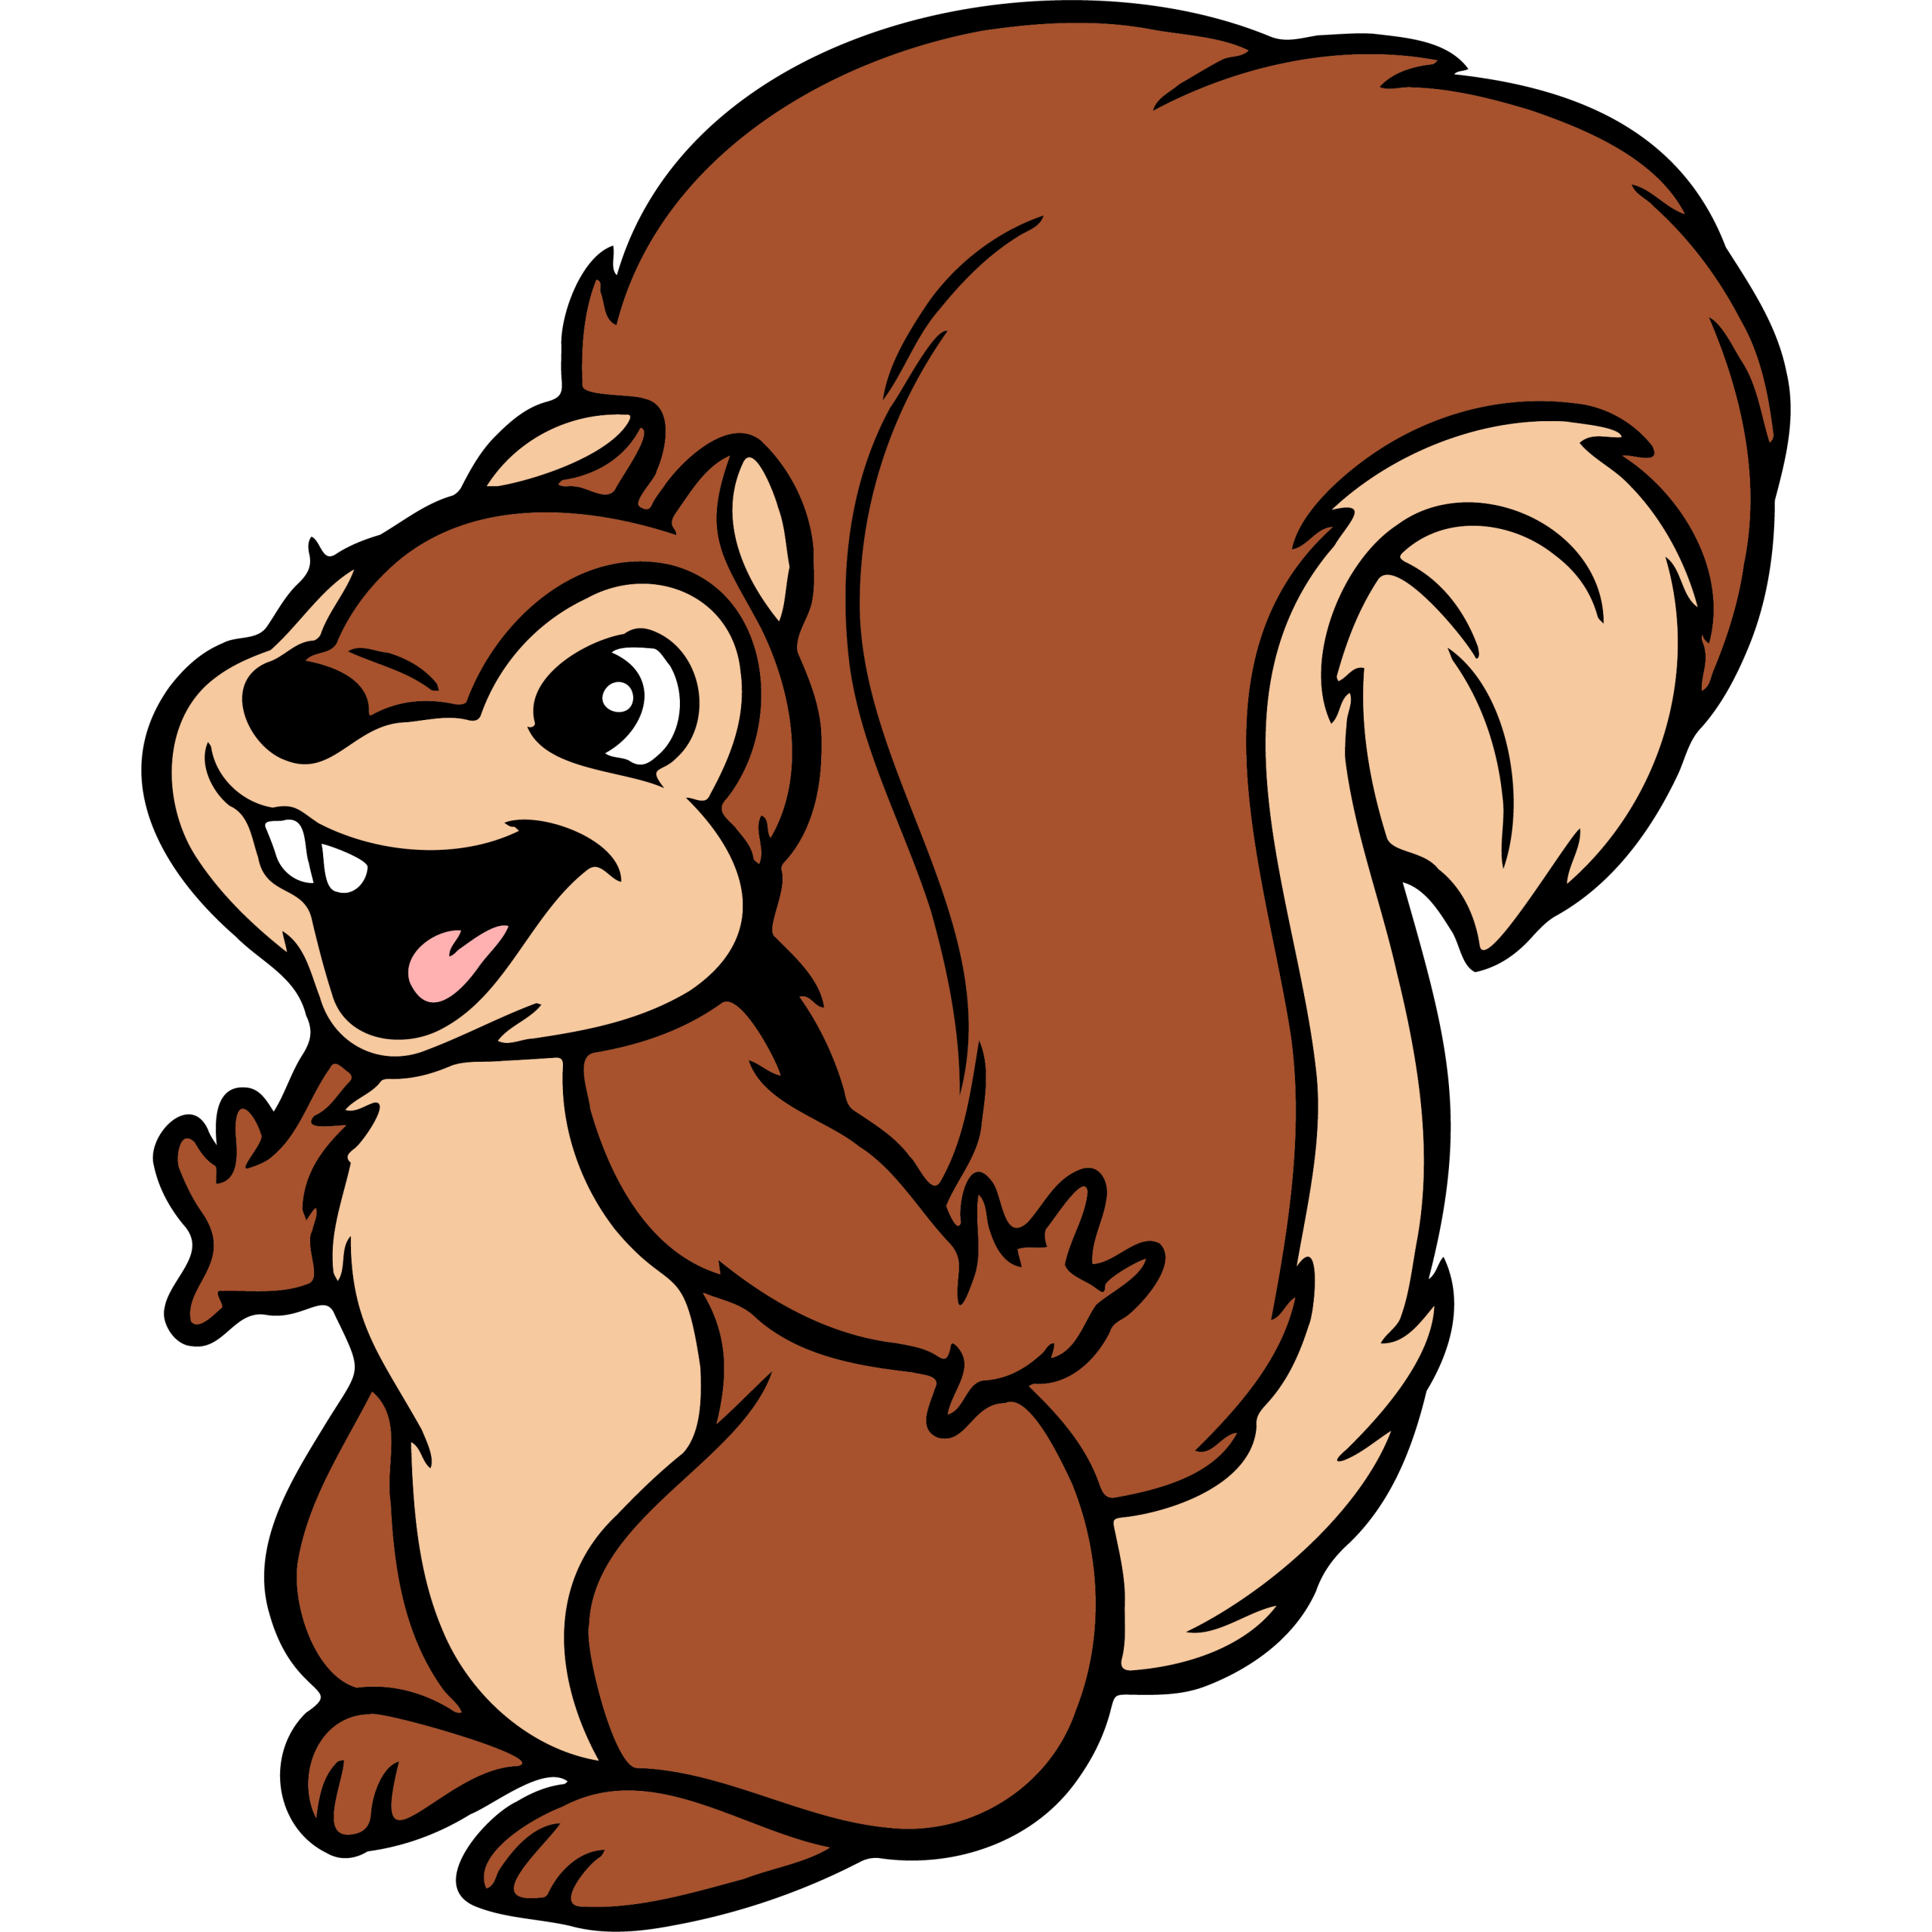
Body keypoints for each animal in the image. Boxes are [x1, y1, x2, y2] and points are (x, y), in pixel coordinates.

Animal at [171, 27, 1762, 1908]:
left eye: (609, 697)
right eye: (342, 591)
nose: (297, 699)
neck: (497, 1064)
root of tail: (1089, 1581)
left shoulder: (690, 1113)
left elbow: (827, 1233)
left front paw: (1016, 1297)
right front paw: (248, 1203)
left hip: (705, 1578)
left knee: (815, 1798)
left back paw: (642, 1824)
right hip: (365, 1532)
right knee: (442, 1682)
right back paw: (406, 1745)